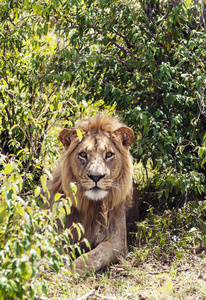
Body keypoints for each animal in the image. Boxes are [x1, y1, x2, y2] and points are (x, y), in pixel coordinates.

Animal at [47, 113, 139, 274]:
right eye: (83, 154)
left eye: (109, 154)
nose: (96, 177)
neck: (90, 205)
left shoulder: (117, 241)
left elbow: (89, 258)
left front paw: (67, 272)